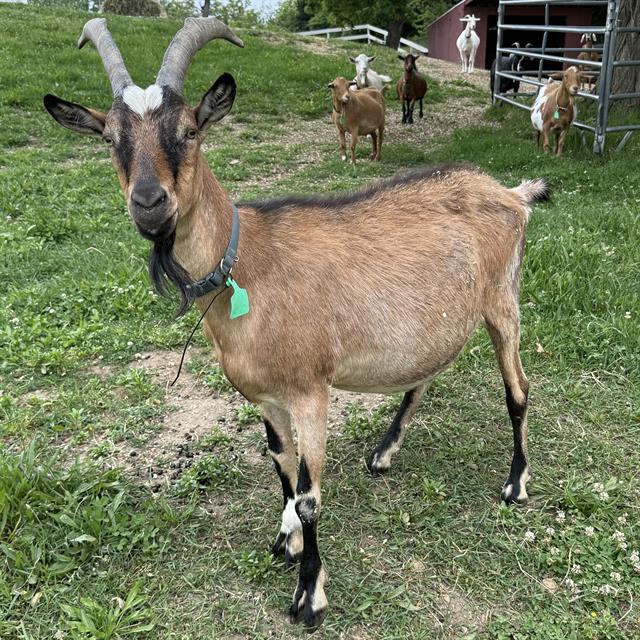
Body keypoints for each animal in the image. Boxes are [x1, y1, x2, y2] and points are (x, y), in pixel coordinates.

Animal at [44, 17, 549, 631]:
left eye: (190, 131)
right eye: (110, 138)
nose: (148, 201)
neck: (247, 266)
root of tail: (511, 193)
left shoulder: (311, 390)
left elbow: (309, 494)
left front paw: (310, 595)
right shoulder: (267, 397)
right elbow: (282, 469)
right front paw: (286, 540)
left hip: (504, 302)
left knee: (518, 390)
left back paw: (516, 482)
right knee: (427, 372)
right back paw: (384, 451)